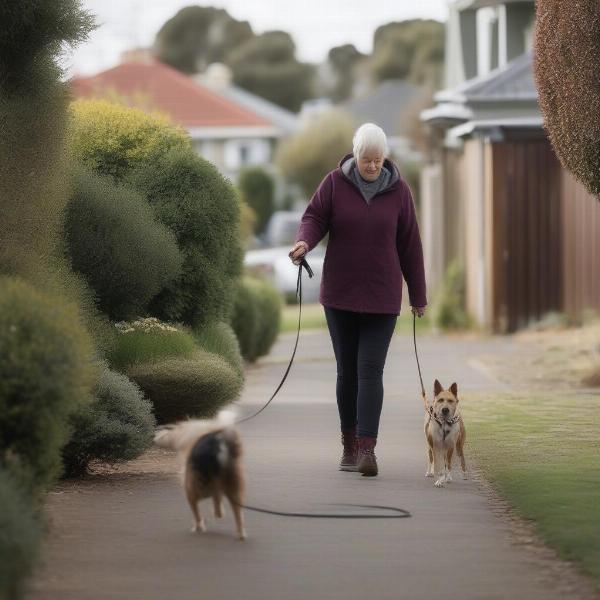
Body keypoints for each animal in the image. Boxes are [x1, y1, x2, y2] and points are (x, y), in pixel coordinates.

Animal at [157, 412, 248, 540]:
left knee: (196, 511)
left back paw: (198, 527)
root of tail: (218, 447)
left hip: (193, 488)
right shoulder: (217, 491)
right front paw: (219, 513)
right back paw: (240, 534)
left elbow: (201, 512)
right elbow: (217, 504)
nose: (158, 430)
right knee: (238, 513)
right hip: (233, 485)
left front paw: (200, 525)